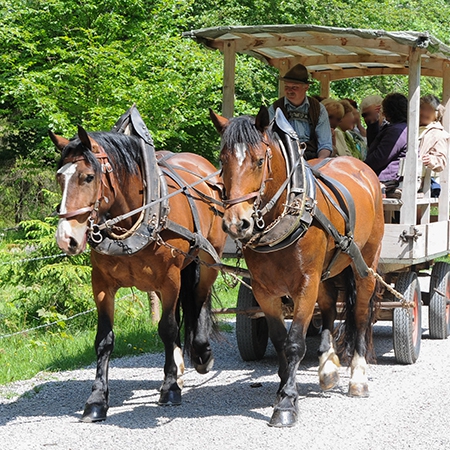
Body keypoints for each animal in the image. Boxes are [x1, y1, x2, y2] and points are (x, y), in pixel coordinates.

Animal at [50, 125, 225, 420]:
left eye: (88, 177)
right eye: (59, 178)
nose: (66, 239)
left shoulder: (170, 279)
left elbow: (167, 328)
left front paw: (170, 388)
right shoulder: (102, 284)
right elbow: (104, 339)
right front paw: (97, 400)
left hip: (206, 259)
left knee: (199, 300)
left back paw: (201, 354)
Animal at [211, 106, 384, 428]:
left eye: (259, 160)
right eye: (222, 159)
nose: (236, 223)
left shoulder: (304, 285)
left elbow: (294, 343)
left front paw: (286, 404)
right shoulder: (264, 290)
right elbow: (280, 340)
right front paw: (283, 388)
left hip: (366, 262)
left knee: (360, 313)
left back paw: (358, 377)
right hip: (327, 271)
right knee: (329, 306)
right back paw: (327, 367)